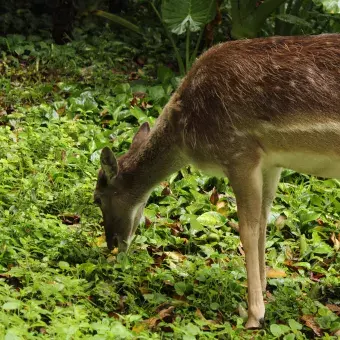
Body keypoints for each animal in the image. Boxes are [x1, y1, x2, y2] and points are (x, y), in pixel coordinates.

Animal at [93, 33, 340, 328]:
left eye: (97, 199)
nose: (112, 245)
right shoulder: (271, 163)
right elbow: (263, 222)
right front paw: (263, 290)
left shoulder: (239, 154)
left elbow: (247, 230)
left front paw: (253, 315)